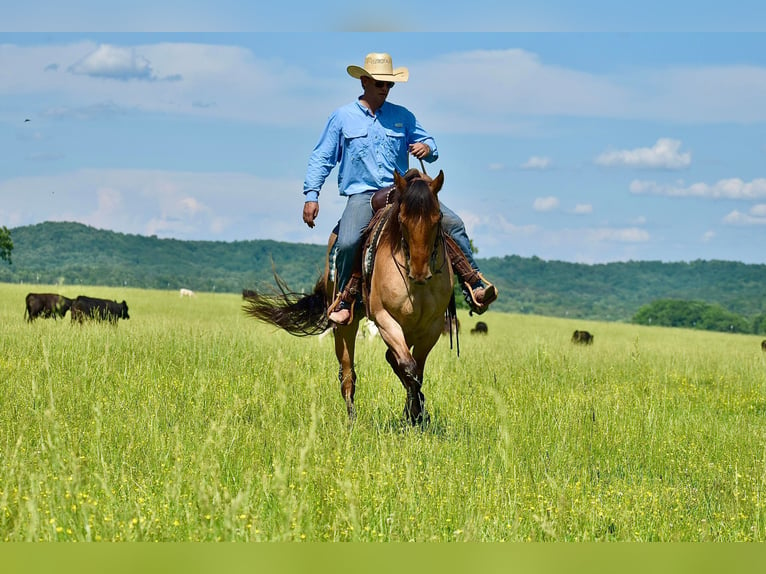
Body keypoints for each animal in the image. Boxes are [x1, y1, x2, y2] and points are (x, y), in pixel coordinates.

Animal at [243, 169, 452, 426]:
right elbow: (409, 367)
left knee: (391, 361)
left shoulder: (431, 327)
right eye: (402, 219)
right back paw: (352, 419)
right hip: (345, 327)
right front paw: (415, 414)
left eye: (438, 217)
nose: (420, 272)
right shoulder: (385, 319)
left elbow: (415, 372)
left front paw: (417, 415)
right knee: (348, 373)